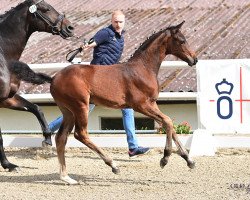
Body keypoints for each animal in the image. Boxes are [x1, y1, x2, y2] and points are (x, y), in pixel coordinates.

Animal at [0, 0, 73, 172]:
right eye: (45, 9)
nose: (69, 27)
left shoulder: (6, 99)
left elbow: (36, 108)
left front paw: (47, 139)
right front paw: (8, 164)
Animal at [49, 20, 197, 184]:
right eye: (182, 40)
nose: (194, 59)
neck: (142, 69)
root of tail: (53, 79)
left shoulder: (152, 104)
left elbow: (168, 123)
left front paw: (189, 160)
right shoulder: (141, 105)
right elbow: (168, 122)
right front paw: (165, 158)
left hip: (68, 111)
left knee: (61, 137)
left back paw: (66, 177)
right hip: (80, 106)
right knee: (80, 134)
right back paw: (113, 165)